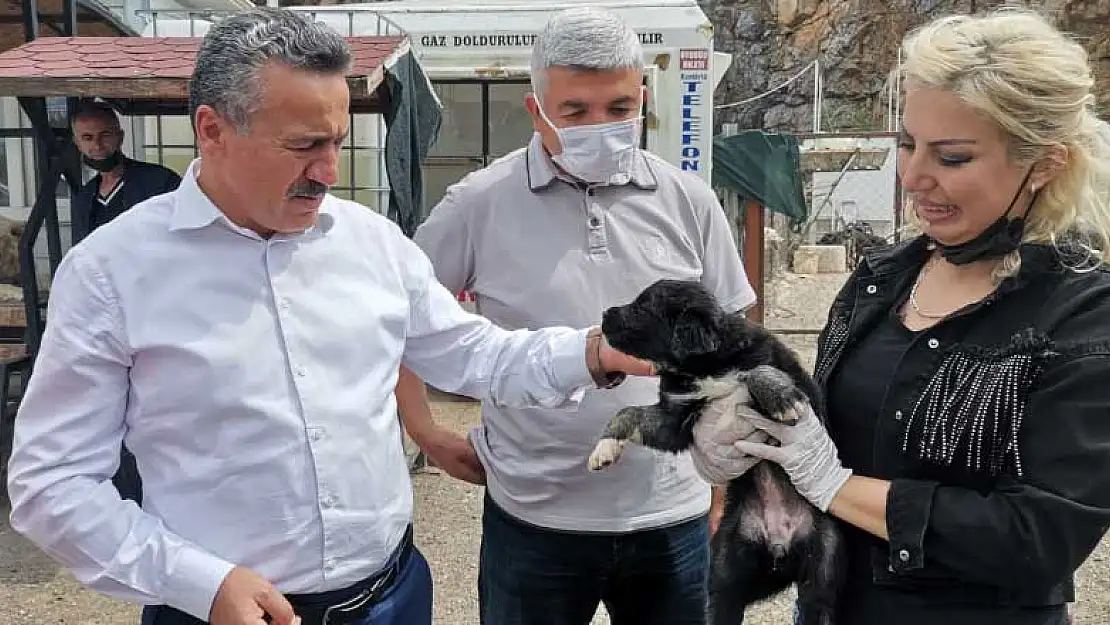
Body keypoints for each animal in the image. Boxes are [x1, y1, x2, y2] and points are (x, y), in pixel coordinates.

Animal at [590, 279, 839, 625]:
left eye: (643, 306)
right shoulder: (674, 419)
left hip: (825, 560)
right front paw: (604, 447)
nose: (604, 314)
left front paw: (781, 398)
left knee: (819, 600)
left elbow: (758, 371)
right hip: (725, 563)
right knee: (720, 599)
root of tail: (780, 543)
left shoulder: (806, 393)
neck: (704, 365)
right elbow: (629, 412)